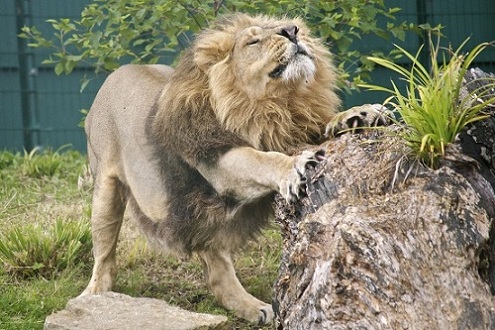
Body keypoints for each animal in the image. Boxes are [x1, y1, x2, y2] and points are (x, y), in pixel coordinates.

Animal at [81, 13, 390, 324]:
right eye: (253, 41)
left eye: (290, 26)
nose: (293, 30)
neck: (277, 104)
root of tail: (114, 74)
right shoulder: (217, 158)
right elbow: (262, 159)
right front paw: (295, 166)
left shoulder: (293, 127)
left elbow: (324, 124)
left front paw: (359, 114)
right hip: (105, 192)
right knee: (105, 257)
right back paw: (94, 298)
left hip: (203, 220)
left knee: (216, 267)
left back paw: (252, 307)